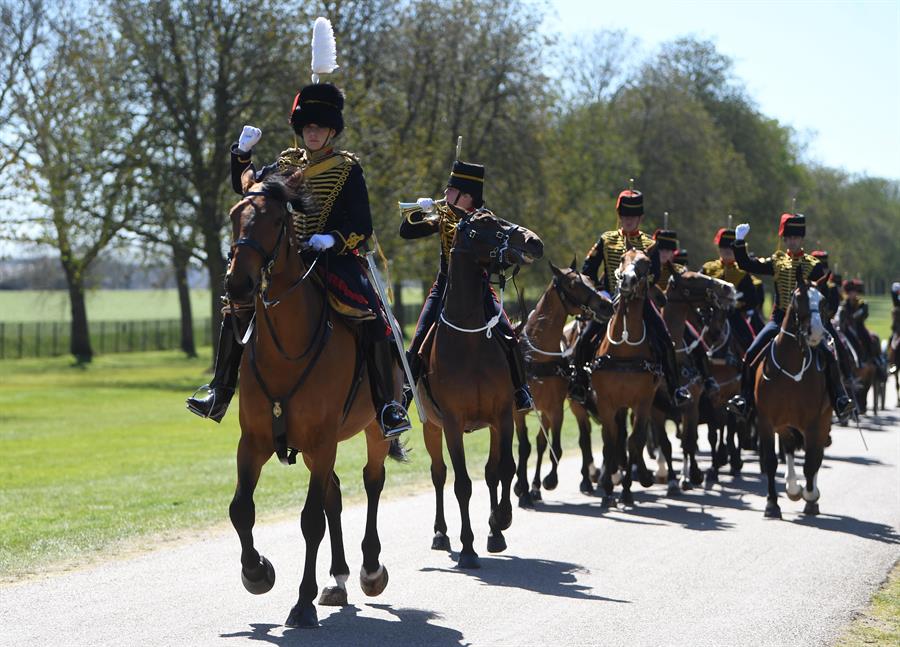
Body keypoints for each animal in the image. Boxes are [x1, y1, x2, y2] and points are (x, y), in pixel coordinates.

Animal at [223, 168, 406, 628]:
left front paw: (301, 603)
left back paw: (369, 570)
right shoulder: (254, 441)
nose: (238, 284)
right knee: (334, 494)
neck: (286, 347)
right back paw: (337, 579)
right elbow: (241, 509)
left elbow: (309, 521)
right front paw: (256, 573)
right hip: (311, 449)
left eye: (274, 220)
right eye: (234, 215)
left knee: (371, 482)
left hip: (371, 430)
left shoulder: (322, 442)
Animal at [416, 211, 540, 568]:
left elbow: (503, 470)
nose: (534, 242)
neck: (469, 339)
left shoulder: (502, 416)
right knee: (439, 474)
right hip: (431, 427)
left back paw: (495, 531)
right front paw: (468, 548)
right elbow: (461, 484)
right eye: (484, 225)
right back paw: (441, 533)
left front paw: (500, 521)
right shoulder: (452, 423)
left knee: (491, 473)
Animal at [516, 262, 616, 506]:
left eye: (591, 281)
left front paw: (548, 481)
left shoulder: (554, 409)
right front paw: (522, 489)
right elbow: (524, 448)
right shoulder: (518, 411)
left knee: (543, 442)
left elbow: (556, 448)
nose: (606, 305)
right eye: (573, 284)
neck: (537, 356)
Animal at [588, 248, 656, 506]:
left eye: (646, 263)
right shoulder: (606, 402)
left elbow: (634, 442)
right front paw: (608, 488)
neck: (625, 350)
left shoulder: (643, 402)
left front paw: (627, 489)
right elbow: (610, 440)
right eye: (624, 258)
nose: (627, 280)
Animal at [756, 274, 832, 520]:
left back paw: (809, 495)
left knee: (816, 455)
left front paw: (811, 496)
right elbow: (771, 462)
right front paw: (772, 504)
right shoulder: (766, 421)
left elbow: (811, 462)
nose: (816, 333)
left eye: (823, 301)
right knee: (789, 448)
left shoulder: (814, 423)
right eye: (798, 298)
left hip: (822, 422)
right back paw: (791, 487)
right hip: (784, 425)